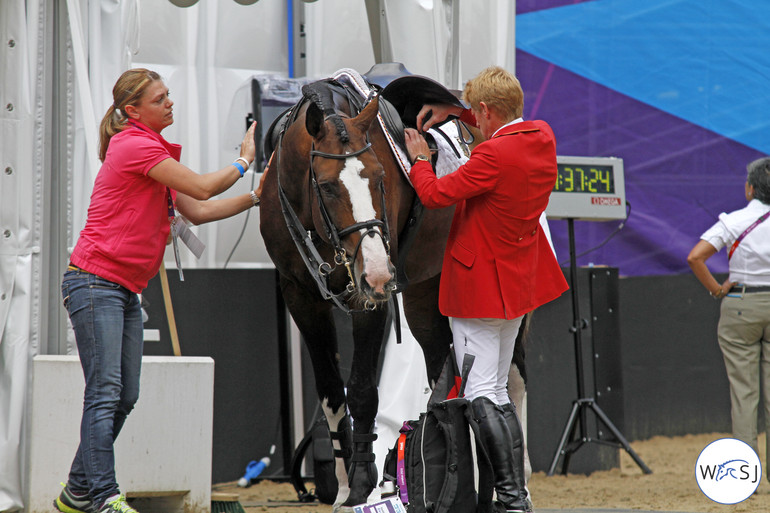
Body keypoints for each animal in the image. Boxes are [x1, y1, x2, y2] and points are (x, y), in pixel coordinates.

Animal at [260, 78, 456, 510]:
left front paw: (363, 483)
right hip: (422, 295)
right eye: (328, 186)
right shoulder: (300, 296)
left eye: (381, 177)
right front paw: (343, 482)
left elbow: (363, 389)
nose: (379, 271)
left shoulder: (370, 299)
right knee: (440, 363)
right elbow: (334, 392)